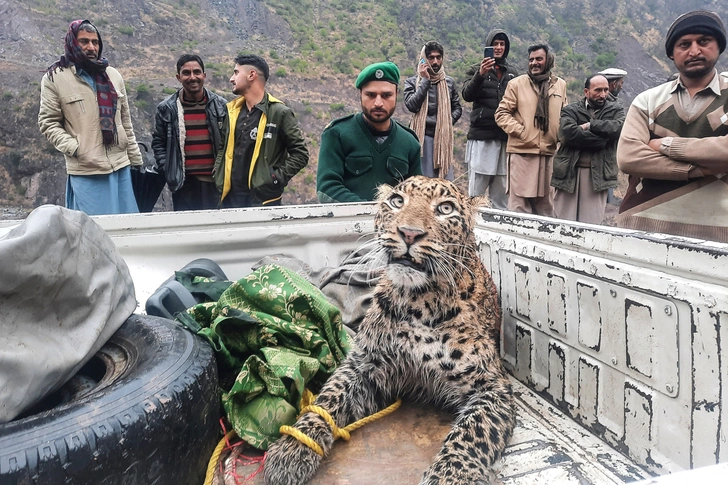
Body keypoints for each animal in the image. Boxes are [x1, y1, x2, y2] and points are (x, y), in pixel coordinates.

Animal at [264, 175, 516, 484]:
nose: (409, 233)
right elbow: (328, 396)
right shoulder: (365, 365)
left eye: (445, 209)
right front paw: (293, 447)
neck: (417, 302)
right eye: (397, 201)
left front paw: (448, 477)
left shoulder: (492, 386)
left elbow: (471, 434)